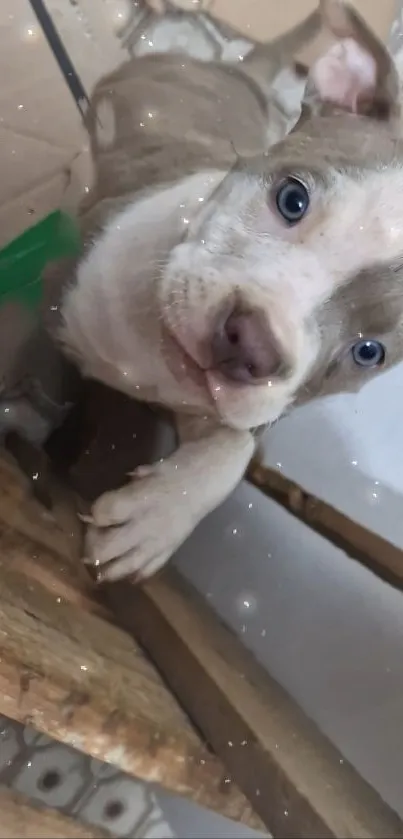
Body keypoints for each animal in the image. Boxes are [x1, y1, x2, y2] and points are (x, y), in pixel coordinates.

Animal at [60, 1, 403, 584]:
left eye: (368, 352)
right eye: (292, 199)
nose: (252, 347)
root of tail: (243, 70)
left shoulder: (239, 412)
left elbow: (234, 449)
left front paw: (155, 518)